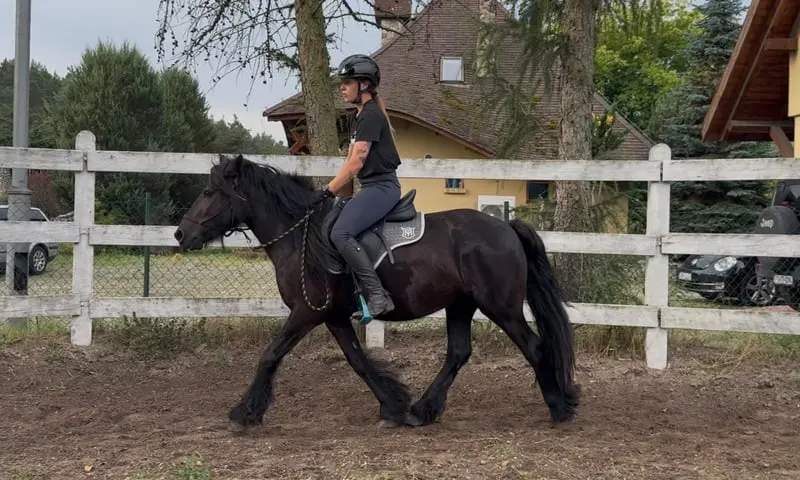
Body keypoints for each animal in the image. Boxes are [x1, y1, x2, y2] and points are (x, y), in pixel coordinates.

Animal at [173, 153, 580, 432]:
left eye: (209, 192)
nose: (180, 234)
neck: (300, 236)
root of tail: (507, 227)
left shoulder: (306, 312)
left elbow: (270, 355)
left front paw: (244, 412)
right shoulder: (334, 317)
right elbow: (358, 361)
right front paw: (393, 405)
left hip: (501, 307)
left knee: (535, 347)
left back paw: (559, 406)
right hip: (461, 305)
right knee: (459, 352)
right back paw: (422, 410)